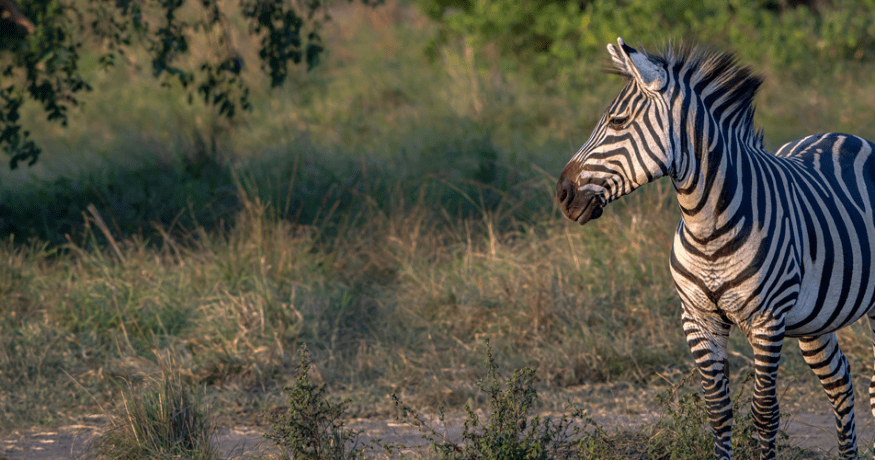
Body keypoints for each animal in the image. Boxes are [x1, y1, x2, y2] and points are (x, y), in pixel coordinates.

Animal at [556, 37, 875, 460]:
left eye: (618, 122)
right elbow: (719, 412)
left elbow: (764, 413)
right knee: (840, 383)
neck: (706, 227)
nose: (562, 194)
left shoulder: (767, 321)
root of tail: (848, 136)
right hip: (814, 319)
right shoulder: (697, 318)